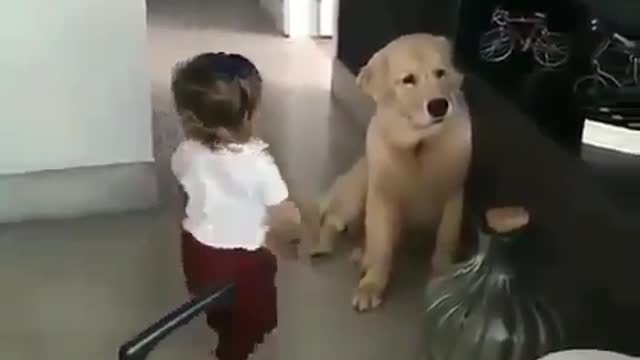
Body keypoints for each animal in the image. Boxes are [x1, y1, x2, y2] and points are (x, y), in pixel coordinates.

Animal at [308, 32, 472, 310]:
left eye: (441, 73)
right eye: (408, 80)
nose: (439, 106)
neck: (419, 146)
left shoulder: (453, 196)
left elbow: (444, 243)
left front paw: (443, 280)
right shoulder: (382, 198)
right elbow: (381, 248)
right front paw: (372, 285)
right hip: (356, 193)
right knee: (333, 221)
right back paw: (326, 248)